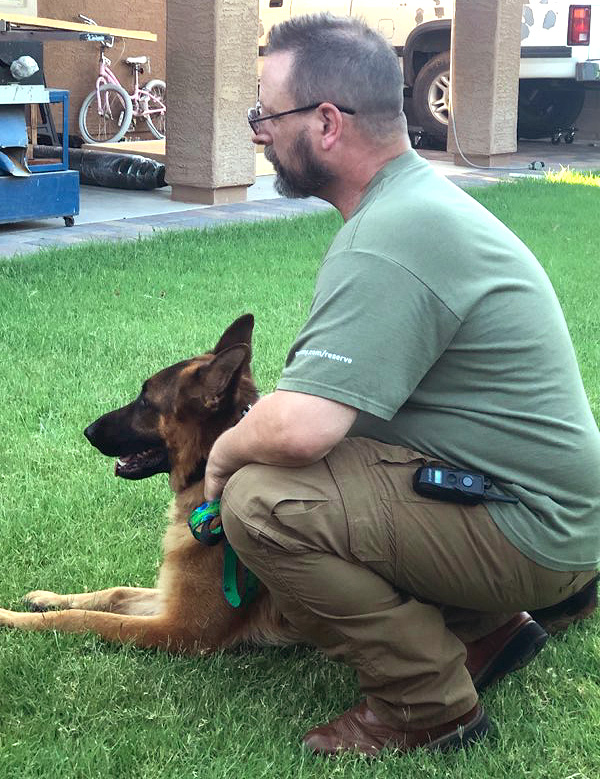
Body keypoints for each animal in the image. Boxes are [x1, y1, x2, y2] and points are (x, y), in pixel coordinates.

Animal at [0, 314, 298, 656]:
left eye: (145, 402)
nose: (88, 431)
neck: (205, 471)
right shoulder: (168, 599)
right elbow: (116, 592)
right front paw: (47, 598)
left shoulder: (180, 629)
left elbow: (85, 618)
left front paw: (12, 617)